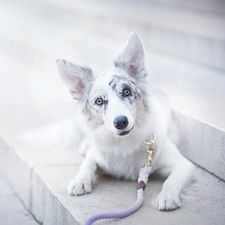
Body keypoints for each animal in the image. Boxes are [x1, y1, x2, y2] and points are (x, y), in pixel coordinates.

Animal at [55, 32, 193, 211]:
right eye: (99, 101)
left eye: (126, 91)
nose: (121, 122)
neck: (124, 142)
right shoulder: (99, 155)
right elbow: (87, 163)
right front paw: (80, 180)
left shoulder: (183, 165)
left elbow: (172, 180)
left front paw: (167, 196)